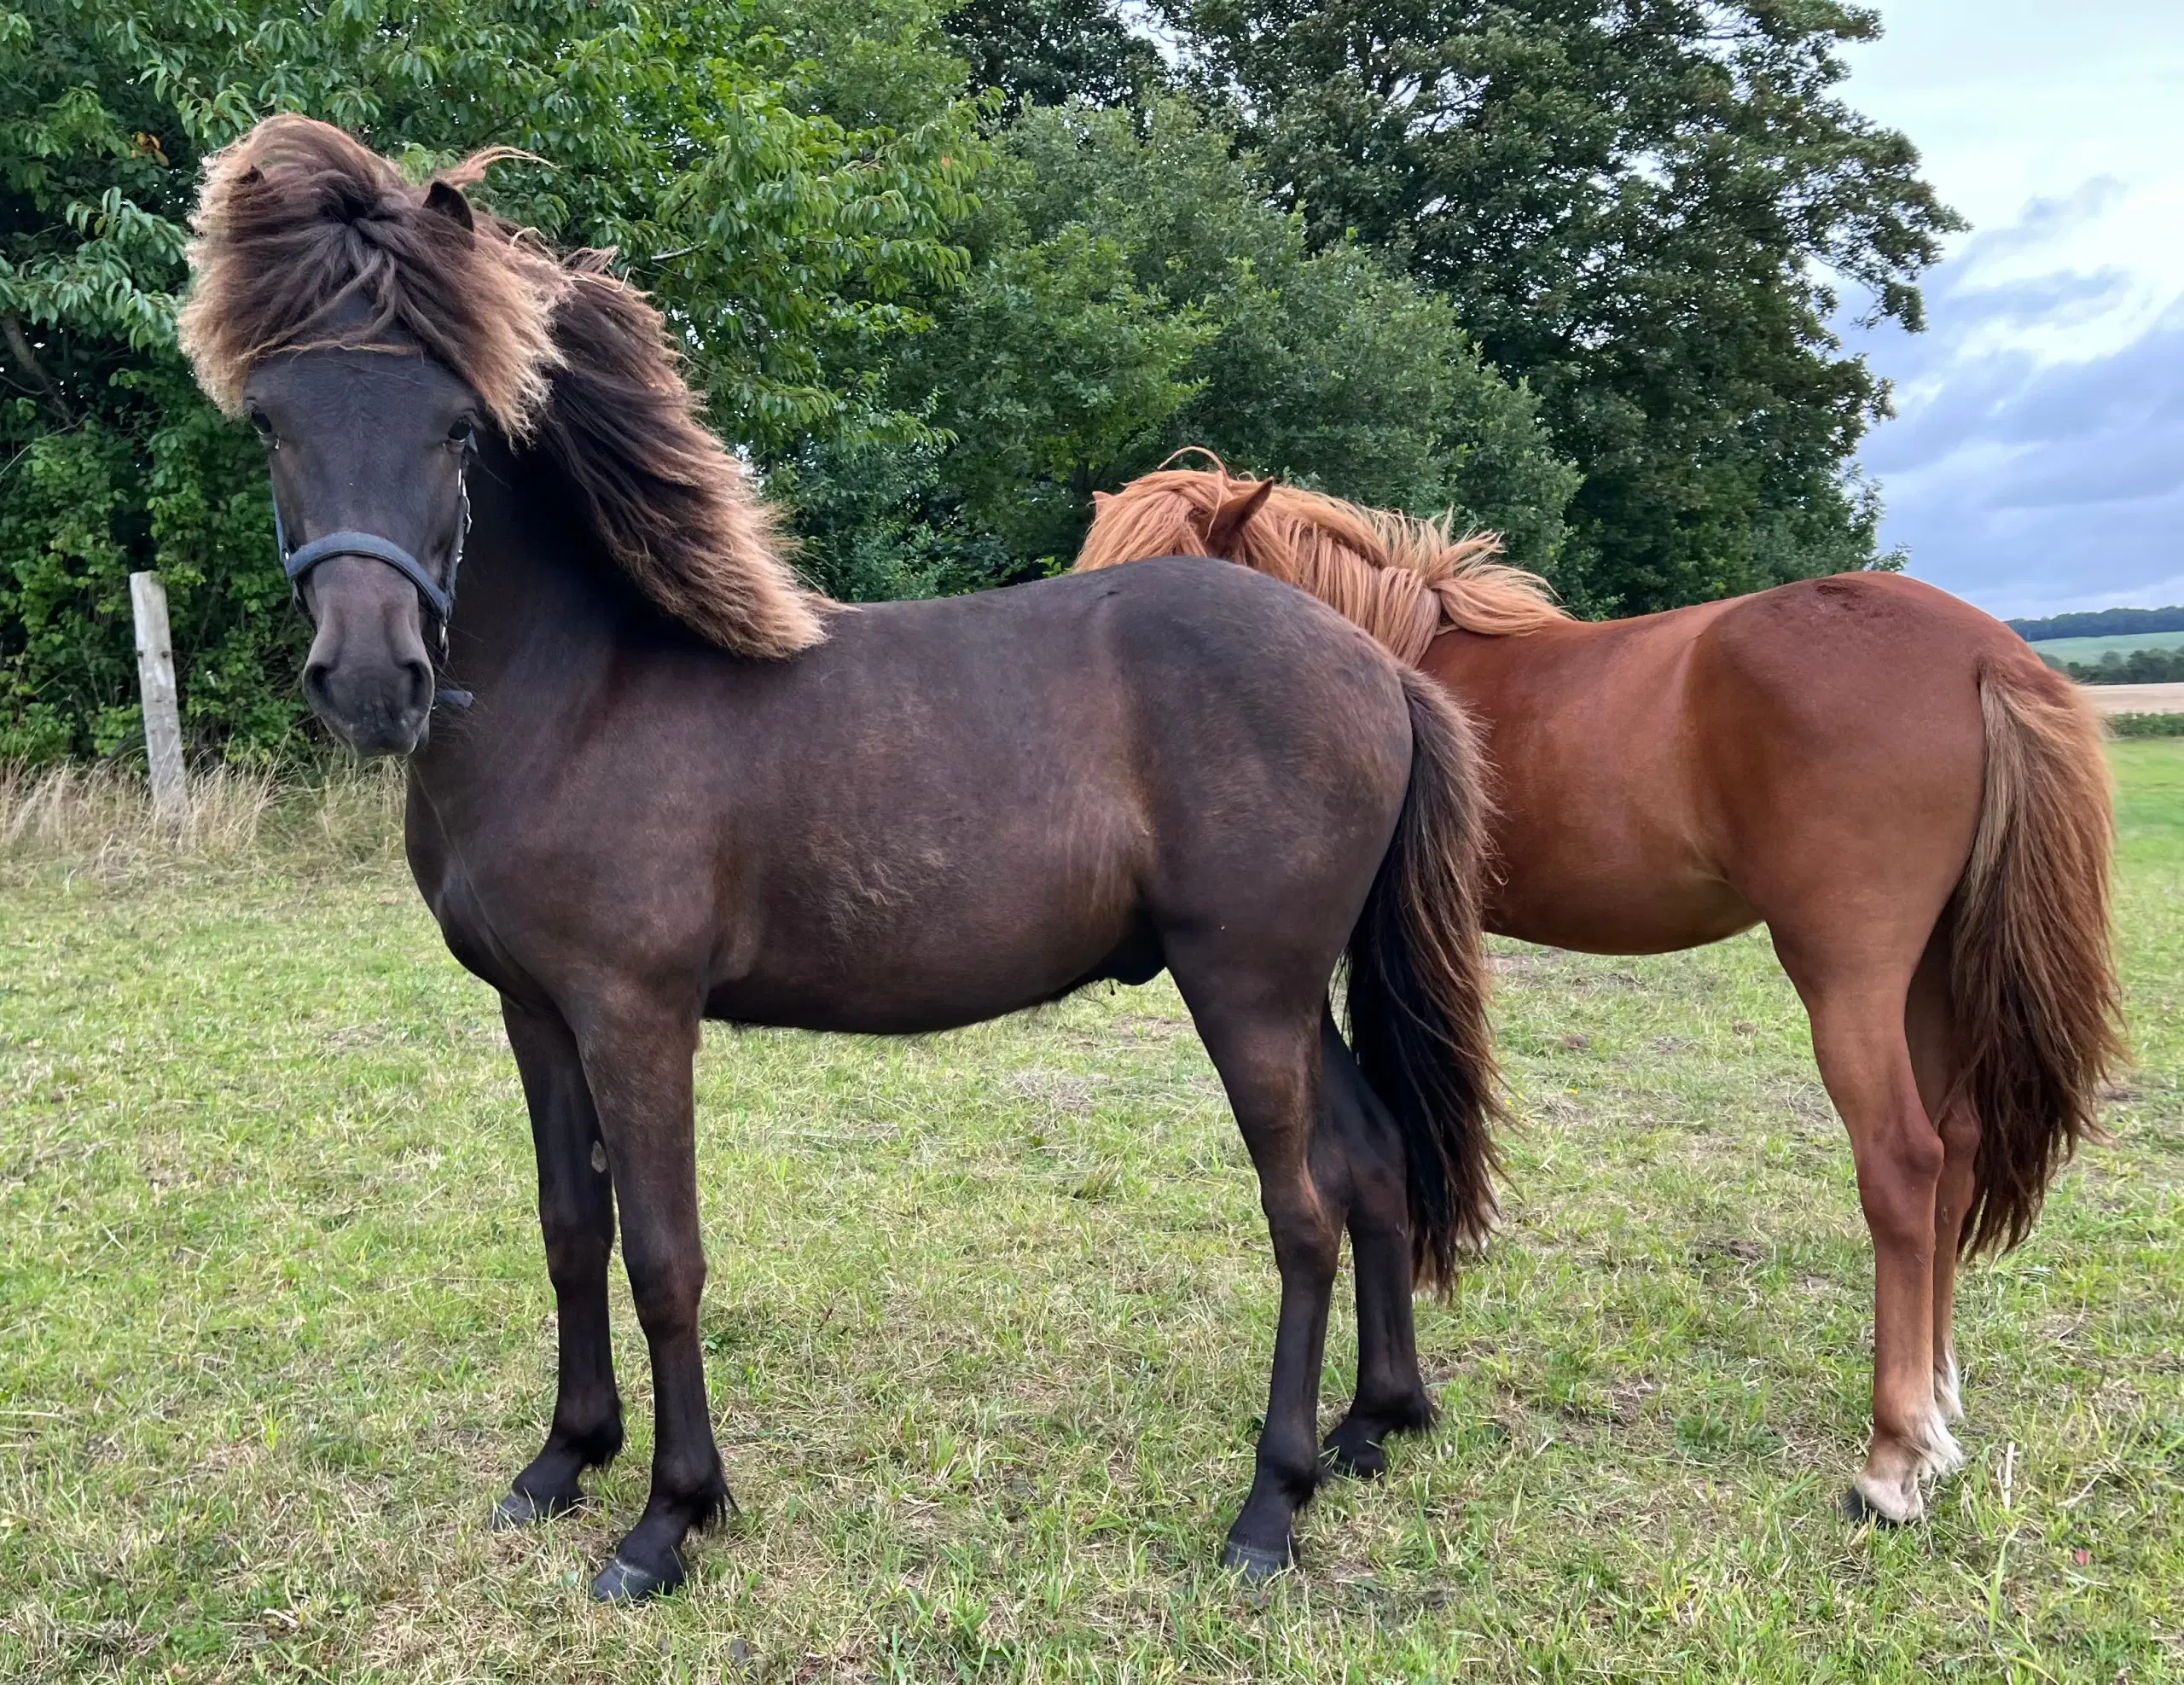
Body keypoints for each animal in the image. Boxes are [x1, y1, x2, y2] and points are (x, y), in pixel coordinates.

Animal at [178, 125, 1502, 1600]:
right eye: (272, 422)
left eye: (457, 428)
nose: (370, 681)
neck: (581, 696)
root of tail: (1377, 661)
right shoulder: (537, 1013)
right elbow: (572, 1230)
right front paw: (565, 1458)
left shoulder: (638, 1017)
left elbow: (665, 1257)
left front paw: (669, 1515)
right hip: (1288, 991)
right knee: (1376, 1161)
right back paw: (1373, 1424)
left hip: (1248, 990)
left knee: (1304, 1207)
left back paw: (1270, 1503)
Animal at [1083, 458, 2123, 1530]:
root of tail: (1984, 654)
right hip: (1936, 970)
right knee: (1955, 1150)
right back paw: (1938, 1410)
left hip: (1850, 971)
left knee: (1903, 1165)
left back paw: (1891, 1458)